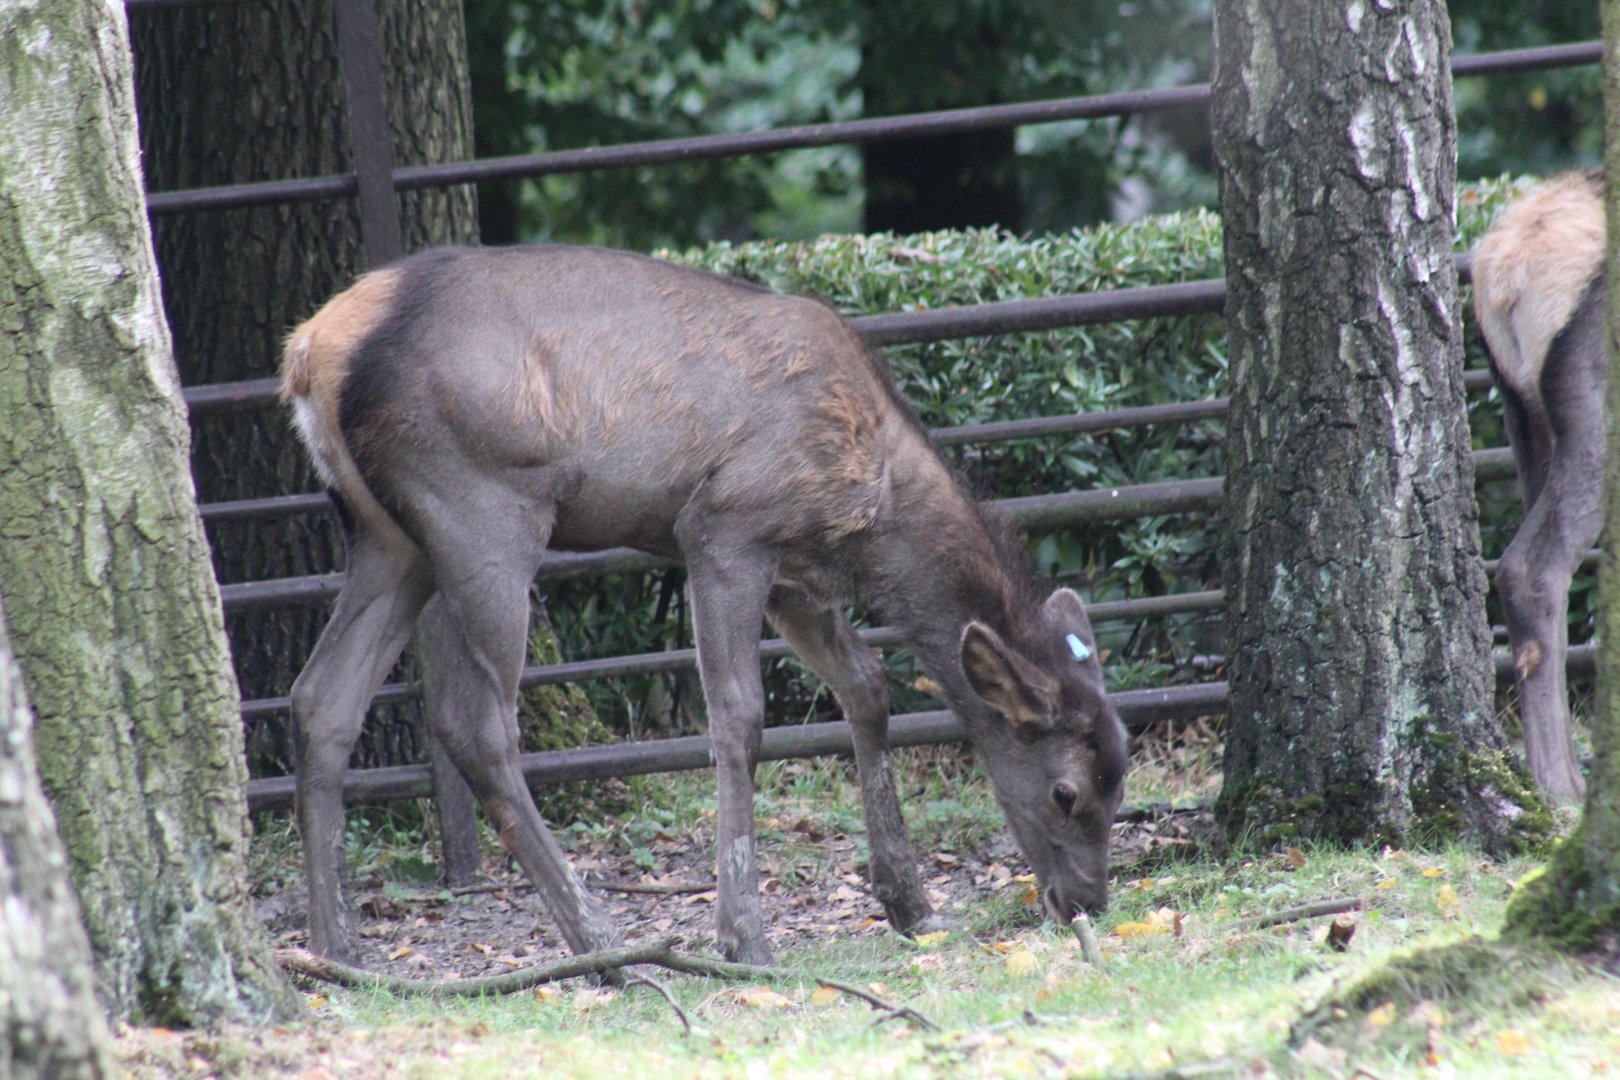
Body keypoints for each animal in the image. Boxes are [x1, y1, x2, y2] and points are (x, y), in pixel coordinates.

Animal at [281, 244, 1129, 966]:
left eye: (1122, 778)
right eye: (1067, 792)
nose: (1087, 902)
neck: (874, 507)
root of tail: (309, 351)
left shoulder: (797, 575)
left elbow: (866, 684)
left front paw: (910, 902)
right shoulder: (726, 526)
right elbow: (739, 719)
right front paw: (743, 936)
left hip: (389, 538)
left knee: (320, 697)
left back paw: (338, 951)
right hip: (481, 507)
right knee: (474, 722)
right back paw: (603, 945)